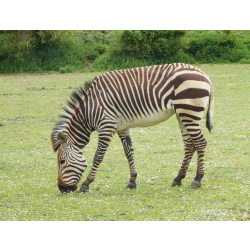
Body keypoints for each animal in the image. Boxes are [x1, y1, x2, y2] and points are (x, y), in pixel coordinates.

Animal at [50, 63, 213, 193]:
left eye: (62, 162)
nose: (62, 189)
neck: (90, 109)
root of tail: (204, 74)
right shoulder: (122, 127)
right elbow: (129, 152)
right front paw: (132, 181)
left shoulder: (106, 126)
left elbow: (98, 156)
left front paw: (86, 183)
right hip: (182, 114)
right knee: (189, 145)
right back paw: (178, 178)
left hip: (189, 111)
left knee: (201, 143)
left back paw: (197, 179)